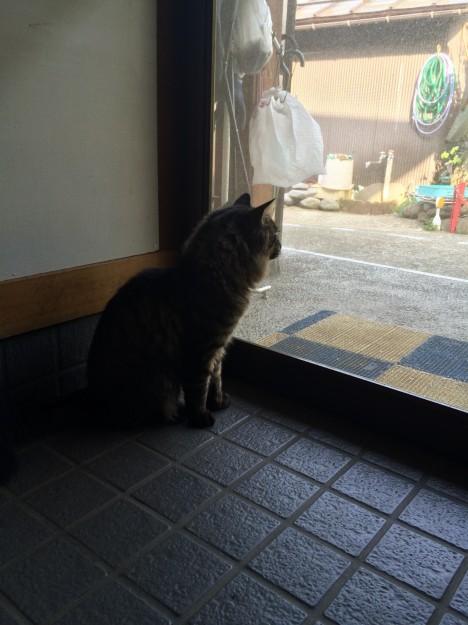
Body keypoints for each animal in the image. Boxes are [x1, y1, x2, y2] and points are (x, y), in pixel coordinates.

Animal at [87, 193, 281, 428]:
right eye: (275, 234)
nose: (282, 245)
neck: (216, 277)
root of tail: (93, 403)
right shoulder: (200, 350)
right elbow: (199, 390)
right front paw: (201, 417)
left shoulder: (218, 348)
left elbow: (217, 379)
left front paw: (218, 402)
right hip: (158, 381)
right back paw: (176, 414)